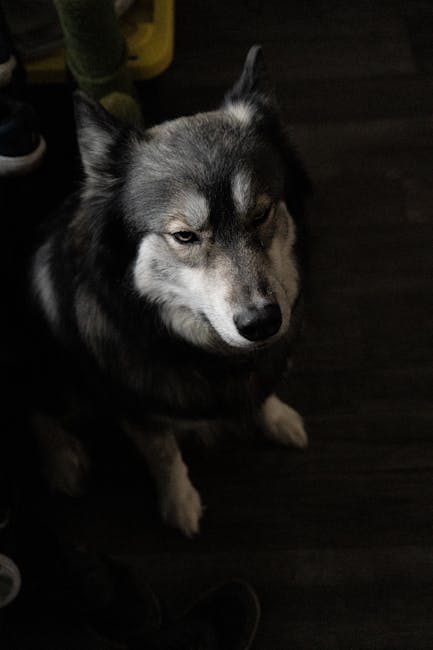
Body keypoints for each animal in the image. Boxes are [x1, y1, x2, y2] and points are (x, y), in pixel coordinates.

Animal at [30, 46, 310, 537]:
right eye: (184, 236)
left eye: (260, 214)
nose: (261, 323)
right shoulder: (136, 406)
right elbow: (164, 454)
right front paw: (179, 502)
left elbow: (262, 391)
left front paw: (277, 418)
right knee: (39, 412)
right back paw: (62, 462)